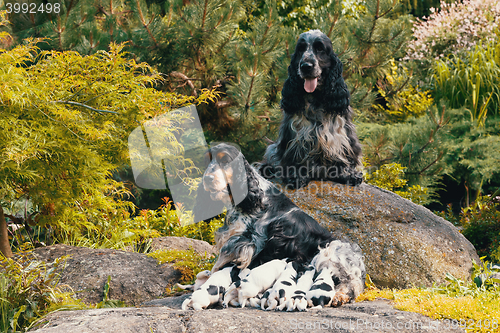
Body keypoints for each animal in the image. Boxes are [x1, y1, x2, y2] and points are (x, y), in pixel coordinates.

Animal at [193, 143, 366, 306]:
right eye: (207, 162)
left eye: (225, 160)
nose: (207, 179)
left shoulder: (247, 243)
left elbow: (220, 264)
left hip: (328, 251)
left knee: (352, 283)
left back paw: (339, 296)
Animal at [260, 29, 362, 188]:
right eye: (301, 49)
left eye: (320, 48)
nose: (306, 66)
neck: (316, 96)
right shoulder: (294, 135)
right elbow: (293, 157)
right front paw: (295, 176)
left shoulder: (340, 133)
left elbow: (343, 154)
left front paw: (348, 173)